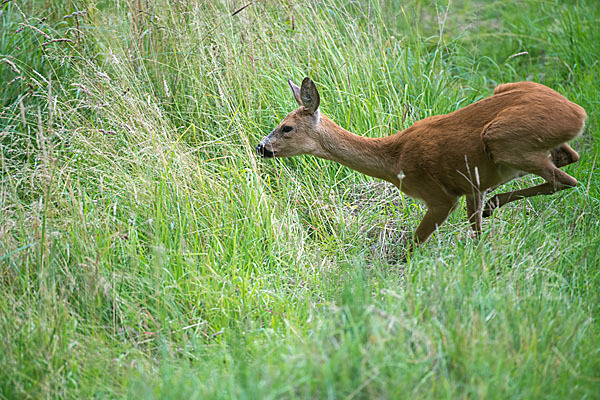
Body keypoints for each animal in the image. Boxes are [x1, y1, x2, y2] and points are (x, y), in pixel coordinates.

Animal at [254, 76, 584, 255]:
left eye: (286, 128)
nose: (261, 147)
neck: (394, 159)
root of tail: (578, 113)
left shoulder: (440, 196)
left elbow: (413, 245)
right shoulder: (472, 185)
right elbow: (476, 229)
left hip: (501, 138)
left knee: (566, 179)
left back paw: (497, 203)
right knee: (569, 159)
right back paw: (495, 204)